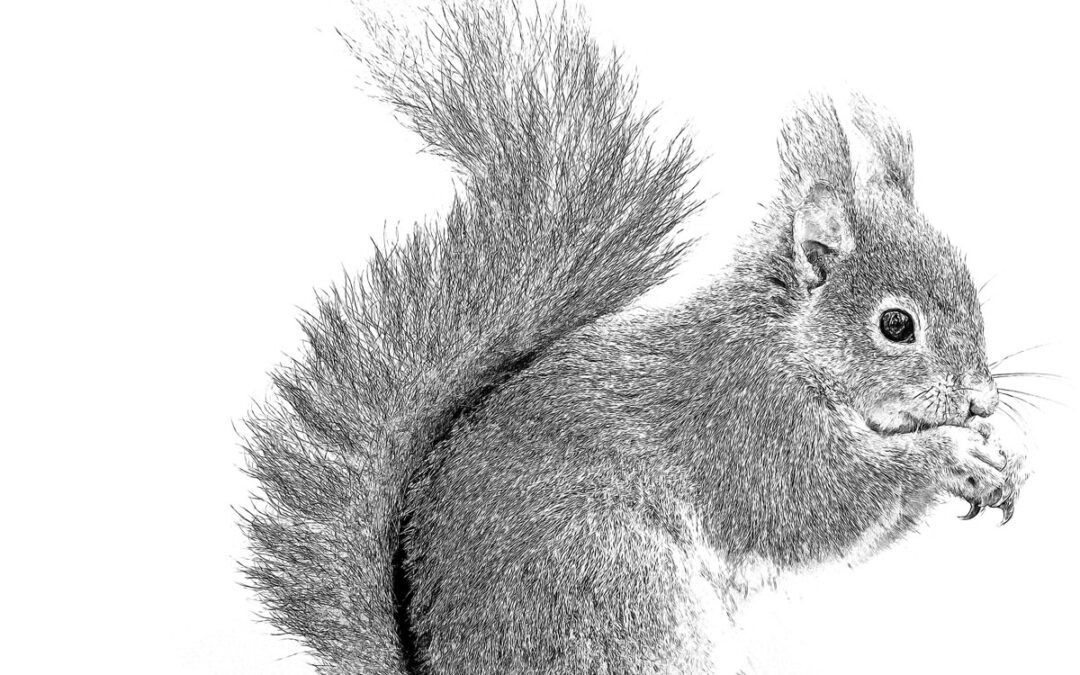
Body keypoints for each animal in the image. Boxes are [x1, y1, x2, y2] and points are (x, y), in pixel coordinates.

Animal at [241, 2, 1027, 673]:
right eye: (897, 325)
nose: (982, 400)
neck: (786, 348)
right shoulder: (746, 426)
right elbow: (815, 506)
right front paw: (950, 454)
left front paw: (999, 458)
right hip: (618, 595)